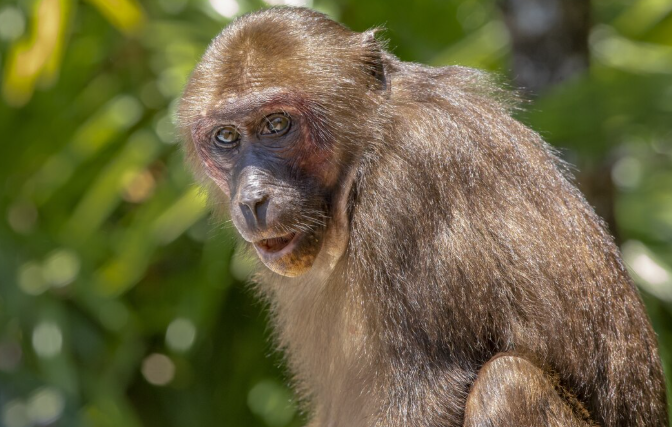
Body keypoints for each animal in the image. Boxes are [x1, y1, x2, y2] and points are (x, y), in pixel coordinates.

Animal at [177, 7, 669, 427]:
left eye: (277, 125)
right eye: (226, 137)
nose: (252, 198)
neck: (361, 162)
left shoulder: (409, 180)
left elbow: (426, 391)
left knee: (506, 384)